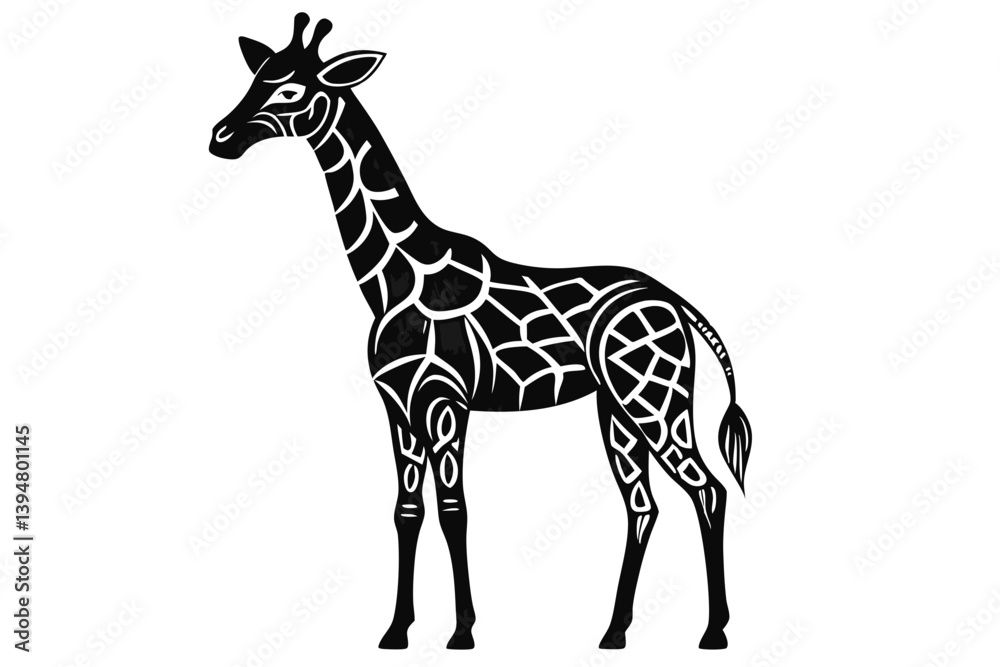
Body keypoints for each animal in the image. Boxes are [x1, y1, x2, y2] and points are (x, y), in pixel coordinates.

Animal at [210, 13, 752, 652]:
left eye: (293, 90)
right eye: (257, 77)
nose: (221, 136)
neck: (391, 279)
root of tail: (677, 304)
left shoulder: (446, 399)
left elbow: (454, 508)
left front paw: (463, 631)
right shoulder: (398, 404)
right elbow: (407, 510)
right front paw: (396, 630)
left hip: (655, 400)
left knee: (708, 489)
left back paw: (713, 631)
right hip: (617, 409)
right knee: (643, 505)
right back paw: (614, 631)